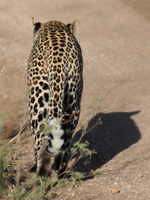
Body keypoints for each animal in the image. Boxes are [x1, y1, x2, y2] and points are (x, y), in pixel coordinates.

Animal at [27, 19, 83, 177]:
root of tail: (58, 59)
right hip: (72, 102)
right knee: (64, 147)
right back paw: (60, 174)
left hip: (38, 103)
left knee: (40, 141)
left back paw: (40, 173)